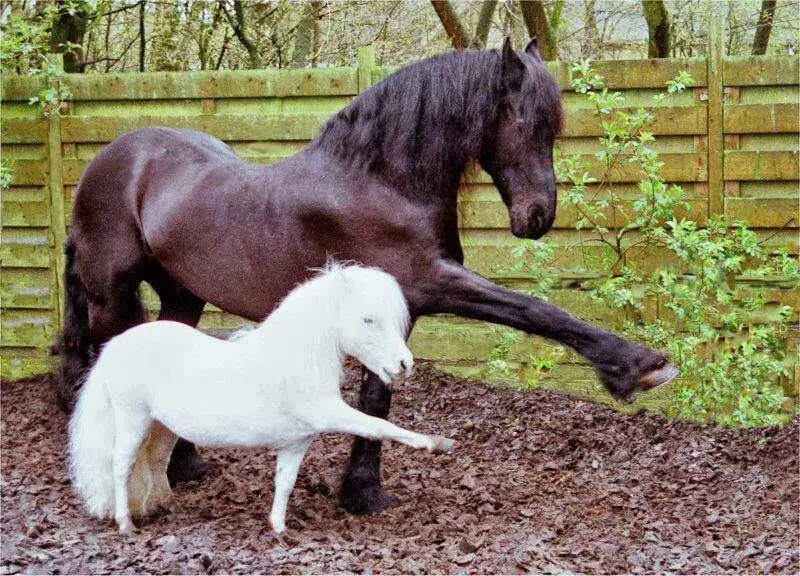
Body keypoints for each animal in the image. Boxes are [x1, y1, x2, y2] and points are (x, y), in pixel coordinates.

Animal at [67, 264, 456, 532]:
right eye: (368, 319)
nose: (405, 365)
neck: (293, 358)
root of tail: (116, 346)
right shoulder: (330, 412)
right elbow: (377, 425)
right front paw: (435, 443)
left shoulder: (296, 442)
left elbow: (284, 483)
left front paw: (279, 528)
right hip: (133, 419)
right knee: (120, 464)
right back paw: (125, 522)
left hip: (162, 426)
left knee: (157, 462)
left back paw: (166, 507)